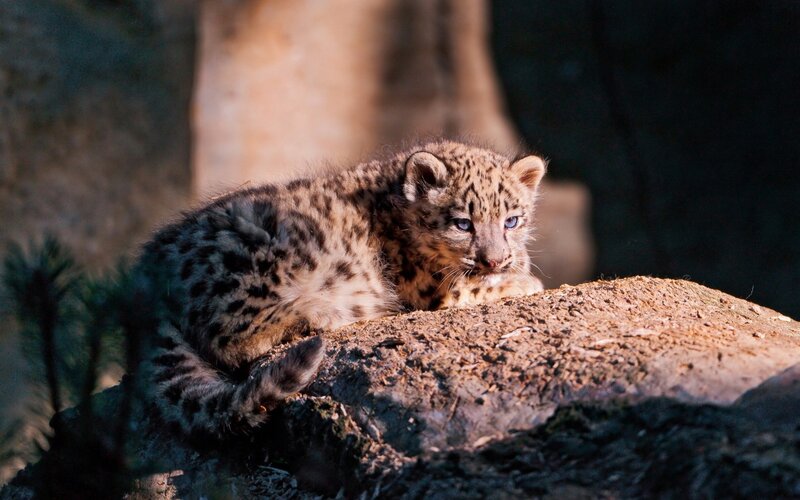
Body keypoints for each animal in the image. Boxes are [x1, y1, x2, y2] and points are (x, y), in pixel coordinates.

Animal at [138, 140, 546, 439]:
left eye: (512, 220)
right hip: (249, 268)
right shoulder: (430, 287)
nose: (495, 259)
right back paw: (323, 313)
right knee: (231, 338)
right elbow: (473, 287)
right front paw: (525, 279)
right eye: (462, 224)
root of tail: (148, 278)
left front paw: (518, 264)